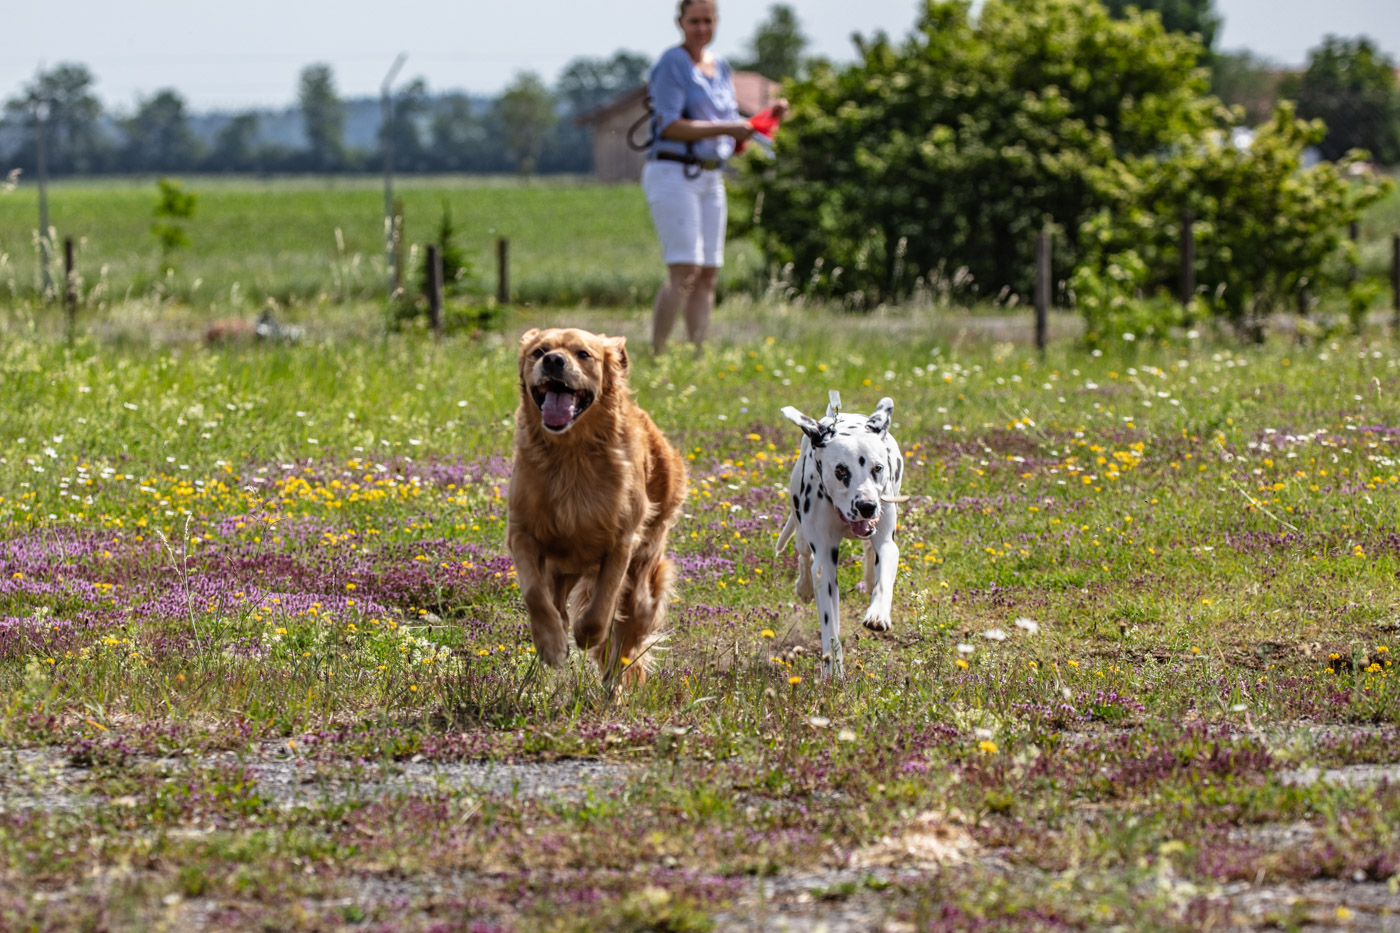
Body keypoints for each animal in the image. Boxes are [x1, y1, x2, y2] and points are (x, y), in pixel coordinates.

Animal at [512, 326, 691, 683]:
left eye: (583, 354)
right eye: (539, 351)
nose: (554, 361)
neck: (570, 455)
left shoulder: (621, 541)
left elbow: (602, 607)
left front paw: (585, 635)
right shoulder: (521, 532)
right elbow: (535, 594)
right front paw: (551, 643)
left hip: (642, 583)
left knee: (623, 645)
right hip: (564, 565)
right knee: (555, 594)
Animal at [778, 389, 907, 672]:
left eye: (878, 468)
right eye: (841, 470)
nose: (867, 506)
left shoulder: (887, 541)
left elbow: (884, 575)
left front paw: (878, 612)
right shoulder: (825, 561)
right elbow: (830, 625)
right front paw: (833, 669)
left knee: (869, 551)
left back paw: (869, 579)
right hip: (800, 526)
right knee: (804, 556)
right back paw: (804, 587)